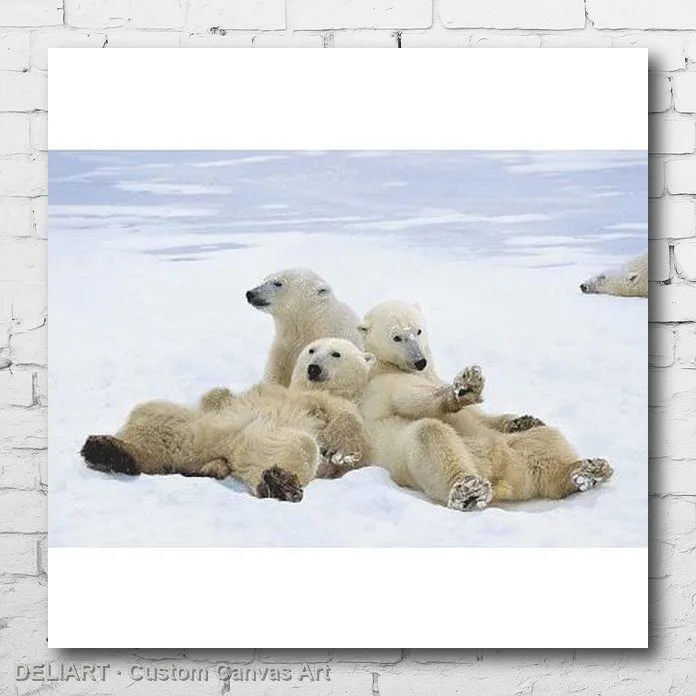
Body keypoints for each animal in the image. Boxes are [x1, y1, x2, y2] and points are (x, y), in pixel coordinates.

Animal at [81, 338, 374, 502]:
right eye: (312, 350)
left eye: (336, 353)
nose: (313, 368)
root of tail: (217, 453)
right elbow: (218, 398)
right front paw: (219, 395)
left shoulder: (331, 404)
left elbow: (346, 419)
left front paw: (340, 451)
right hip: (194, 429)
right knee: (153, 415)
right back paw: (108, 449)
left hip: (256, 443)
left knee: (298, 446)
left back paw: (280, 483)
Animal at [358, 300, 613, 511]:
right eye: (397, 337)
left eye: (418, 330)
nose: (420, 361)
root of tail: (501, 476)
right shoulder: (385, 384)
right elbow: (414, 401)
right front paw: (464, 388)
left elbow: (481, 417)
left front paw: (523, 420)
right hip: (411, 456)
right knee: (430, 435)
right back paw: (468, 491)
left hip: (514, 448)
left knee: (545, 440)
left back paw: (587, 470)